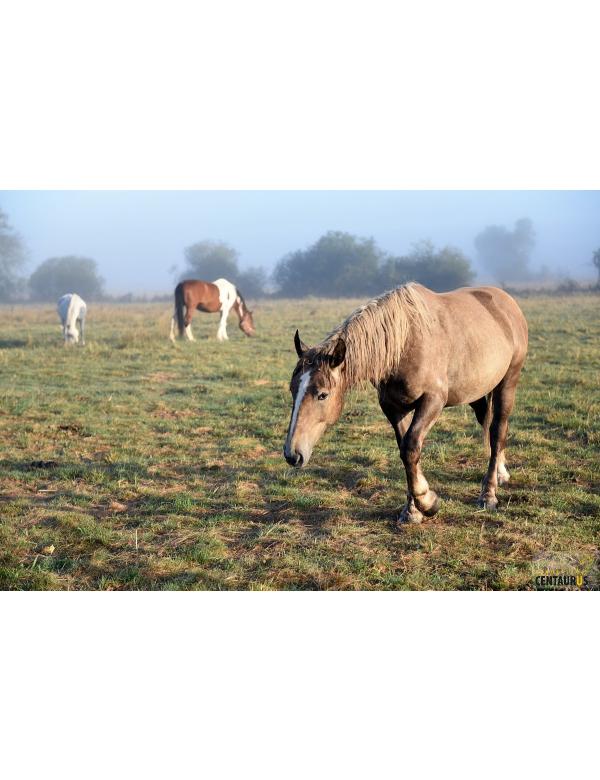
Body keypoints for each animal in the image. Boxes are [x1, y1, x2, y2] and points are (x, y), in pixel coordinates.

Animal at [284, 282, 528, 524]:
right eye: (293, 389)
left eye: (322, 395)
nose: (292, 454)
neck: (404, 345)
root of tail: (506, 302)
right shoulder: (393, 408)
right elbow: (406, 451)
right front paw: (411, 510)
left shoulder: (432, 401)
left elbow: (410, 447)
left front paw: (427, 502)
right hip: (475, 391)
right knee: (487, 422)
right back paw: (501, 472)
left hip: (508, 383)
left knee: (497, 430)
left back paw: (489, 494)